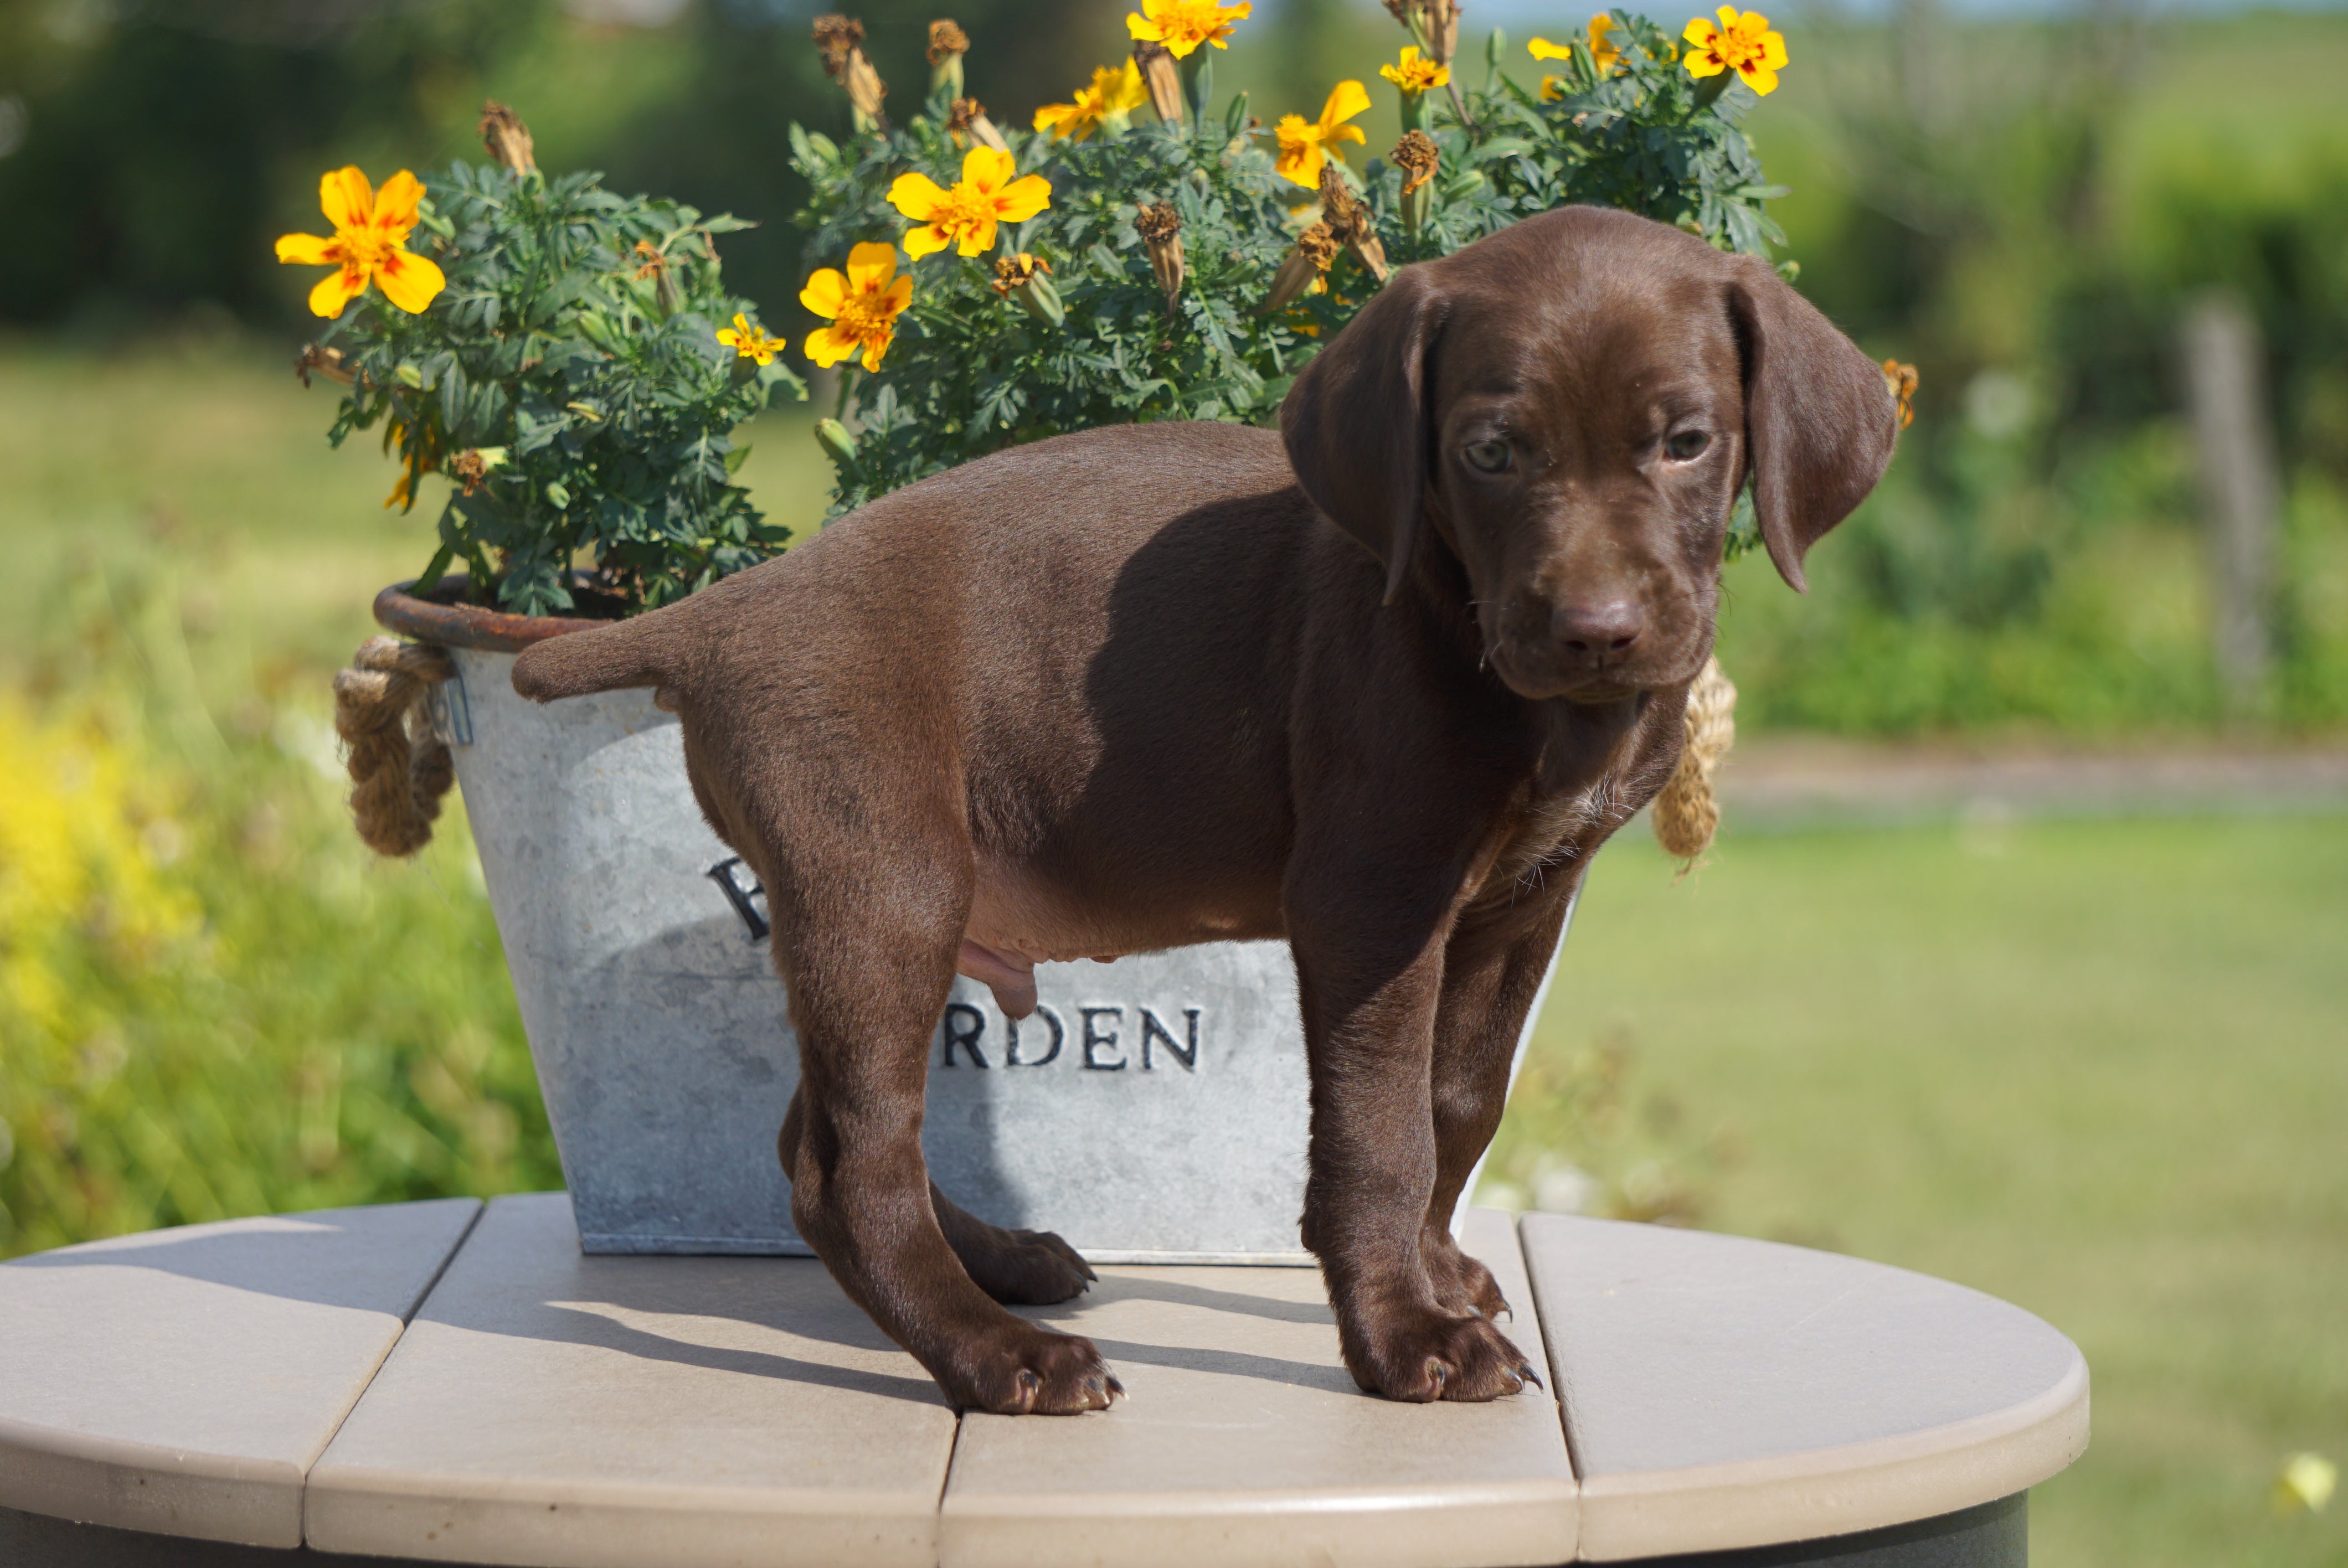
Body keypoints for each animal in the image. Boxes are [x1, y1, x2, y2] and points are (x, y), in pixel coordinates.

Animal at [519, 202, 1906, 1417]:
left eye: (1685, 442)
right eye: (1489, 452)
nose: (1594, 632)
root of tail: (719, 612)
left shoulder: (1521, 902)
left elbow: (1459, 1103)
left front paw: (1437, 1275)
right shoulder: (1369, 900)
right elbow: (1380, 1133)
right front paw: (1404, 1336)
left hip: (892, 906)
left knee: (822, 1133)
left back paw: (1000, 1265)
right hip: (882, 887)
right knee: (847, 1166)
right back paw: (998, 1355)